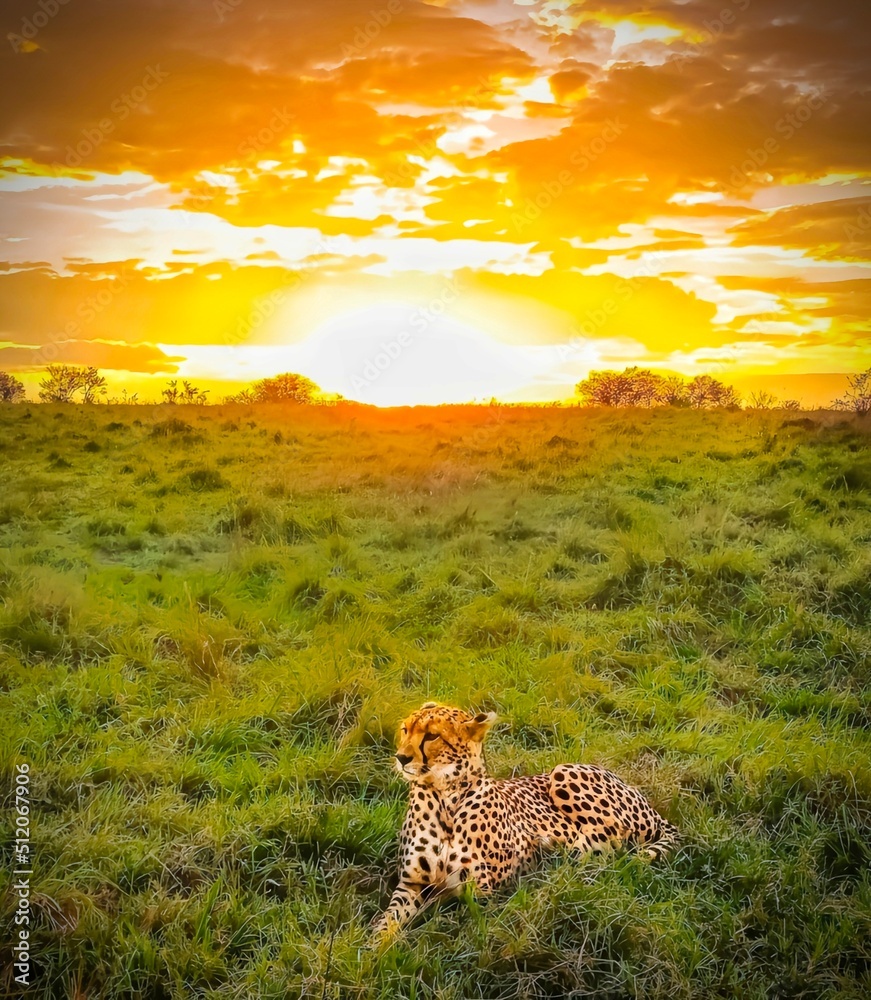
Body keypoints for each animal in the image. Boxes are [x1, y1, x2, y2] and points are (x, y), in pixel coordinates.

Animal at [371, 702, 679, 939]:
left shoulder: (481, 895)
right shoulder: (412, 884)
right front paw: (373, 947)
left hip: (563, 772)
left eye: (432, 736)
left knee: (612, 844)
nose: (401, 757)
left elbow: (448, 926)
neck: (444, 796)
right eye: (405, 730)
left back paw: (559, 857)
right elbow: (388, 918)